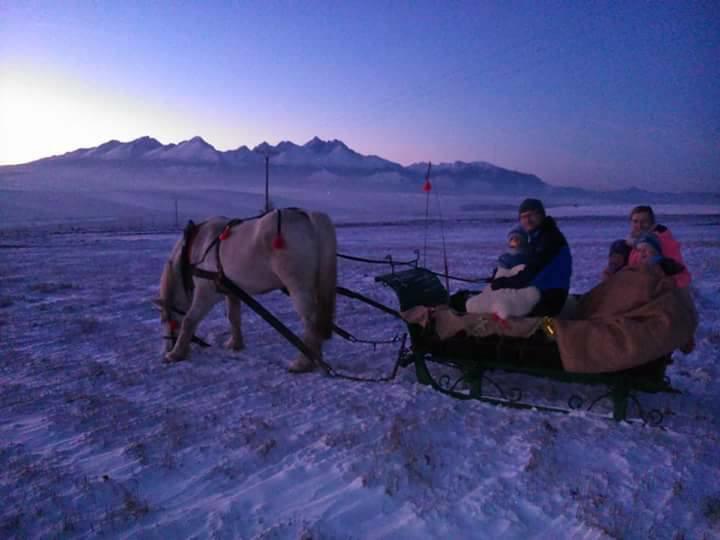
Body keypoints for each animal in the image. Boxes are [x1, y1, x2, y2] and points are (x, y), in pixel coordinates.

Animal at [154, 208, 338, 372]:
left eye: (165, 319)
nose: (166, 348)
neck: (196, 246)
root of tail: (307, 216)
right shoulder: (231, 290)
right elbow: (233, 317)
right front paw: (235, 344)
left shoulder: (206, 291)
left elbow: (190, 320)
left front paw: (175, 354)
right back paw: (315, 357)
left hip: (298, 287)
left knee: (310, 320)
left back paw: (303, 363)